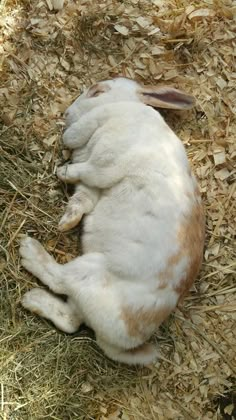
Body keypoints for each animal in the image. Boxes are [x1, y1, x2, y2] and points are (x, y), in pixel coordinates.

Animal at [20, 77, 205, 366]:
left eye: (98, 91)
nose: (67, 114)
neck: (126, 107)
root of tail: (128, 338)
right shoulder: (93, 186)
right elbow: (82, 199)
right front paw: (67, 222)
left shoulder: (105, 160)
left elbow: (85, 165)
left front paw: (63, 170)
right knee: (71, 321)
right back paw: (33, 300)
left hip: (89, 270)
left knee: (59, 279)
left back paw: (29, 252)